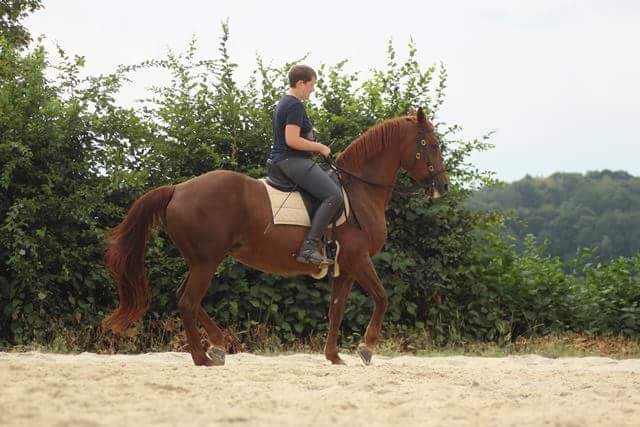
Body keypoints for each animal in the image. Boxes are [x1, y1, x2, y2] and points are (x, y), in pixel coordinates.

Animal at [101, 107, 449, 366]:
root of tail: (178, 189)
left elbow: (336, 309)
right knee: (188, 301)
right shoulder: (358, 260)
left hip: (201, 261)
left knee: (183, 297)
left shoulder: (345, 268)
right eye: (432, 145)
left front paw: (334, 357)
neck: (360, 190)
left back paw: (217, 345)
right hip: (205, 262)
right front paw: (366, 349)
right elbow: (382, 297)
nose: (443, 187)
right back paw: (203, 358)